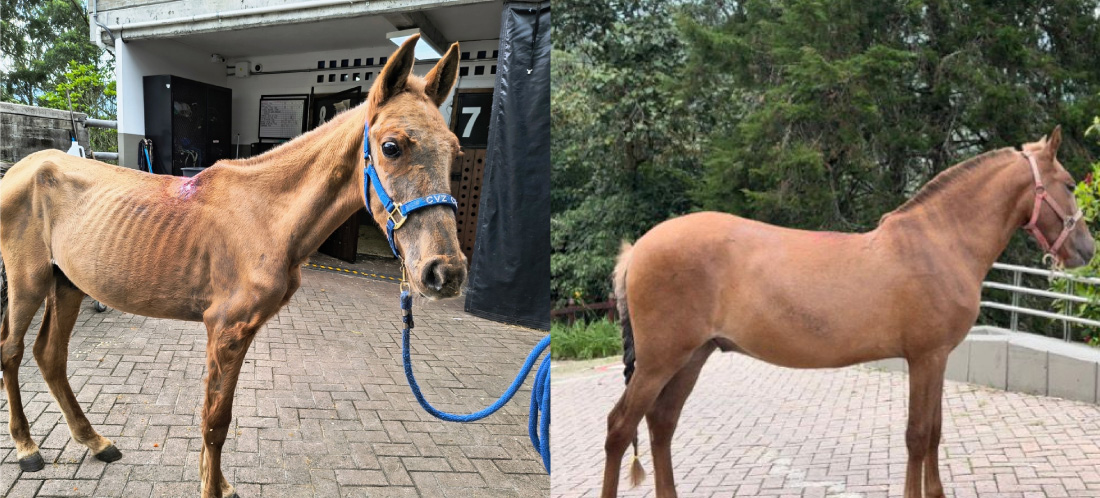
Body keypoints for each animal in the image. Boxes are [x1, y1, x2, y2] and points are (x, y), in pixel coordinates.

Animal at [0, 35, 464, 497]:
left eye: (456, 151)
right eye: (391, 146)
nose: (446, 272)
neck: (266, 215)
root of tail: (23, 167)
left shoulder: (238, 333)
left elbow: (216, 420)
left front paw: (218, 482)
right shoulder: (226, 331)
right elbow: (215, 424)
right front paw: (212, 486)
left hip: (67, 284)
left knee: (50, 356)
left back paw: (95, 442)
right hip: (28, 282)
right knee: (12, 350)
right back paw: (26, 449)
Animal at [602, 128, 1095, 498]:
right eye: (1071, 184)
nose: (1087, 249)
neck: (939, 241)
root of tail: (637, 249)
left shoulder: (937, 359)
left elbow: (934, 433)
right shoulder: (926, 357)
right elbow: (918, 435)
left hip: (692, 357)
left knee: (661, 424)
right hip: (660, 361)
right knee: (620, 427)